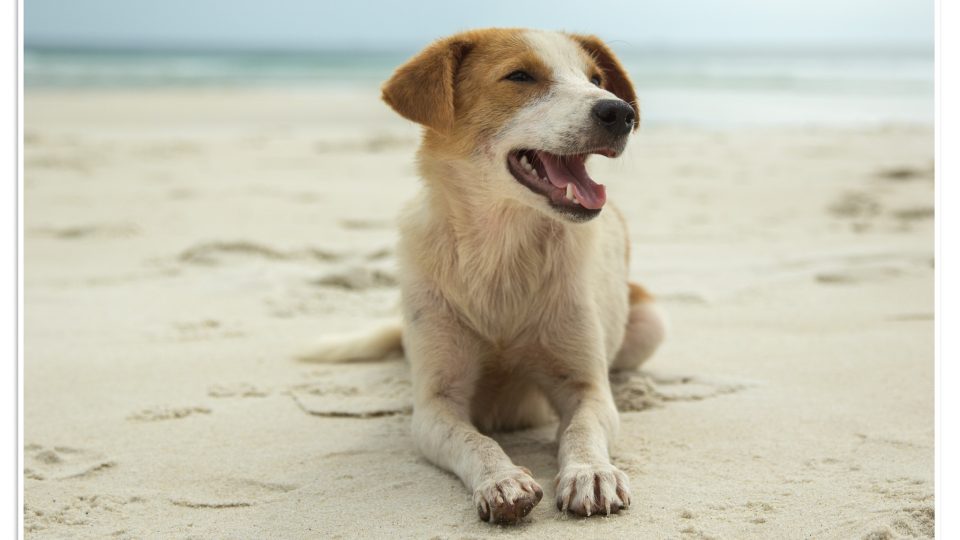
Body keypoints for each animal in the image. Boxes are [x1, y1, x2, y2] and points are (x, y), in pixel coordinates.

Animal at [304, 28, 664, 524]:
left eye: (596, 79)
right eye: (520, 76)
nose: (620, 112)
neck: (501, 254)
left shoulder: (585, 386)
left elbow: (582, 429)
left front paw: (591, 472)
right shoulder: (436, 404)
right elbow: (474, 440)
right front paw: (502, 480)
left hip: (650, 323)